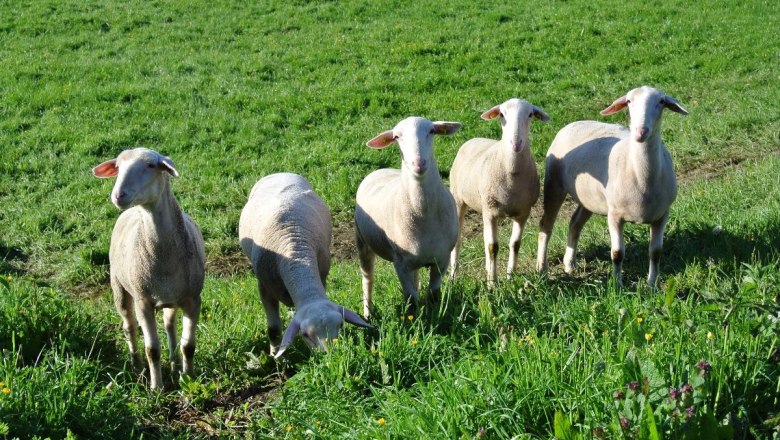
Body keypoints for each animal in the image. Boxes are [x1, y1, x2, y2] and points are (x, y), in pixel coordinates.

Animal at [92, 148, 205, 389]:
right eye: (118, 167)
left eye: (151, 166)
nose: (118, 195)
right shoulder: (143, 301)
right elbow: (152, 349)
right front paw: (157, 387)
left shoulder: (193, 299)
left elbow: (188, 345)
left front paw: (188, 378)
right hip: (119, 286)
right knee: (129, 326)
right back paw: (137, 366)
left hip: (171, 299)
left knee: (169, 325)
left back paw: (174, 365)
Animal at [238, 173, 370, 358]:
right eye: (306, 334)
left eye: (341, 325)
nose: (332, 355)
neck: (296, 256)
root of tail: (280, 173)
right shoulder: (264, 287)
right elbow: (274, 330)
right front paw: (275, 357)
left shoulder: (322, 275)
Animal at [355, 116, 461, 318]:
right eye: (397, 137)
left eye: (432, 131)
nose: (418, 164)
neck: (423, 214)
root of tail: (380, 170)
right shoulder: (400, 263)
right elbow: (411, 299)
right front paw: (415, 320)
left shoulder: (442, 258)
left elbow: (433, 295)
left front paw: (433, 318)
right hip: (362, 241)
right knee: (367, 279)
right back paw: (368, 314)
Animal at [449, 98, 549, 287]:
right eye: (502, 114)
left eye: (530, 114)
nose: (516, 143)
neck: (512, 175)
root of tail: (474, 139)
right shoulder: (491, 213)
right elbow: (493, 247)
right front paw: (492, 284)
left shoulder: (523, 212)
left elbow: (515, 244)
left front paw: (510, 276)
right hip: (458, 200)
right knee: (458, 240)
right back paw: (452, 276)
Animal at [536, 86, 688, 287]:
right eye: (629, 101)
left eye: (661, 101)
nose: (641, 132)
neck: (641, 176)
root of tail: (575, 123)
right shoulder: (614, 215)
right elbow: (617, 253)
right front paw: (618, 286)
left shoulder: (662, 215)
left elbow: (656, 253)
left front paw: (652, 285)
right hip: (554, 185)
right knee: (546, 225)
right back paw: (542, 268)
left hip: (590, 198)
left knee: (575, 223)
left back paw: (570, 264)